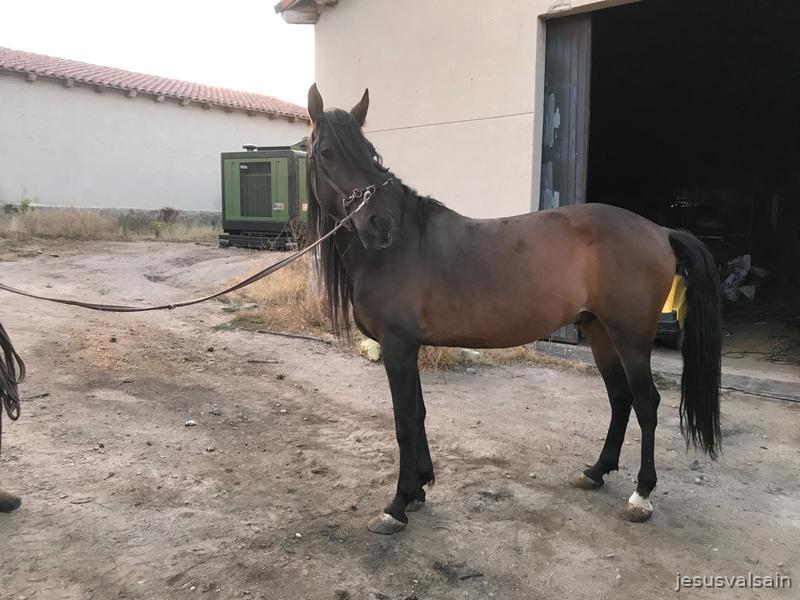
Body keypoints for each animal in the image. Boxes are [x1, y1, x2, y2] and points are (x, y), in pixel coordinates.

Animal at [305, 84, 722, 534]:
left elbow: (403, 422)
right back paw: (596, 471)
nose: (381, 225)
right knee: (620, 397)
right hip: (599, 333)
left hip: (629, 337)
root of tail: (659, 230)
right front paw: (419, 488)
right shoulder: (408, 347)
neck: (401, 247)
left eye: (371, 152)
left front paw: (396, 504)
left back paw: (641, 495)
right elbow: (418, 414)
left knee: (646, 403)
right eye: (326, 152)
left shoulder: (398, 347)